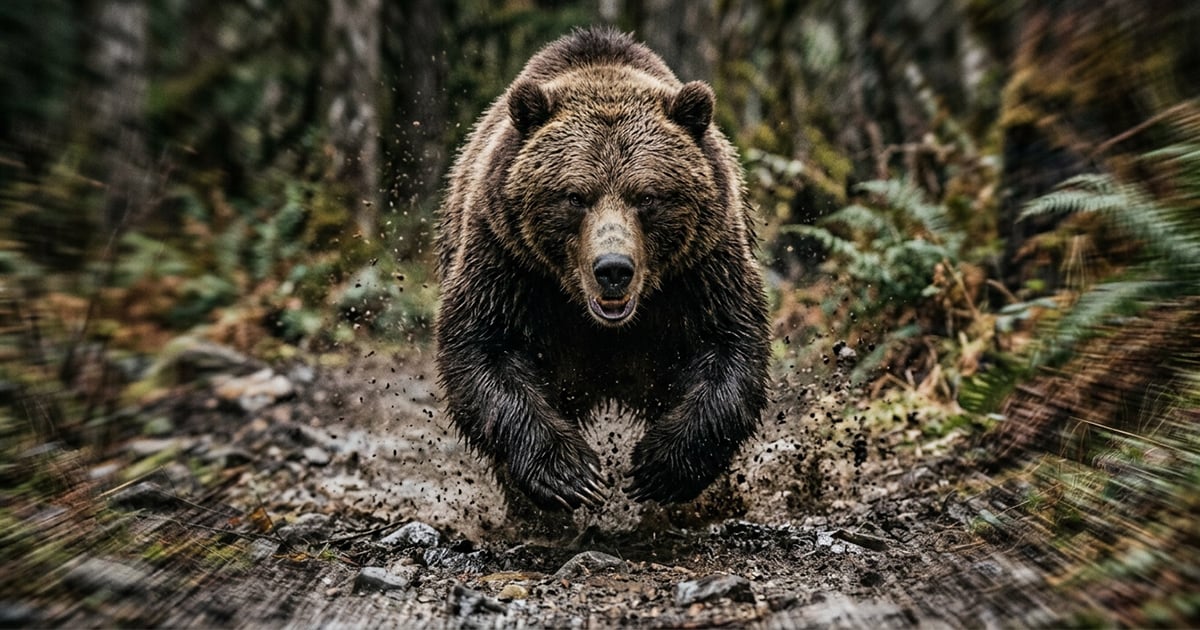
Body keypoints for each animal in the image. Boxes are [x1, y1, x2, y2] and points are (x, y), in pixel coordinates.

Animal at [435, 27, 769, 511]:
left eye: (647, 196)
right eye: (575, 196)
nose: (613, 269)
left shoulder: (701, 266)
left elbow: (729, 344)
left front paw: (657, 469)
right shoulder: (508, 260)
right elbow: (484, 348)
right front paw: (570, 474)